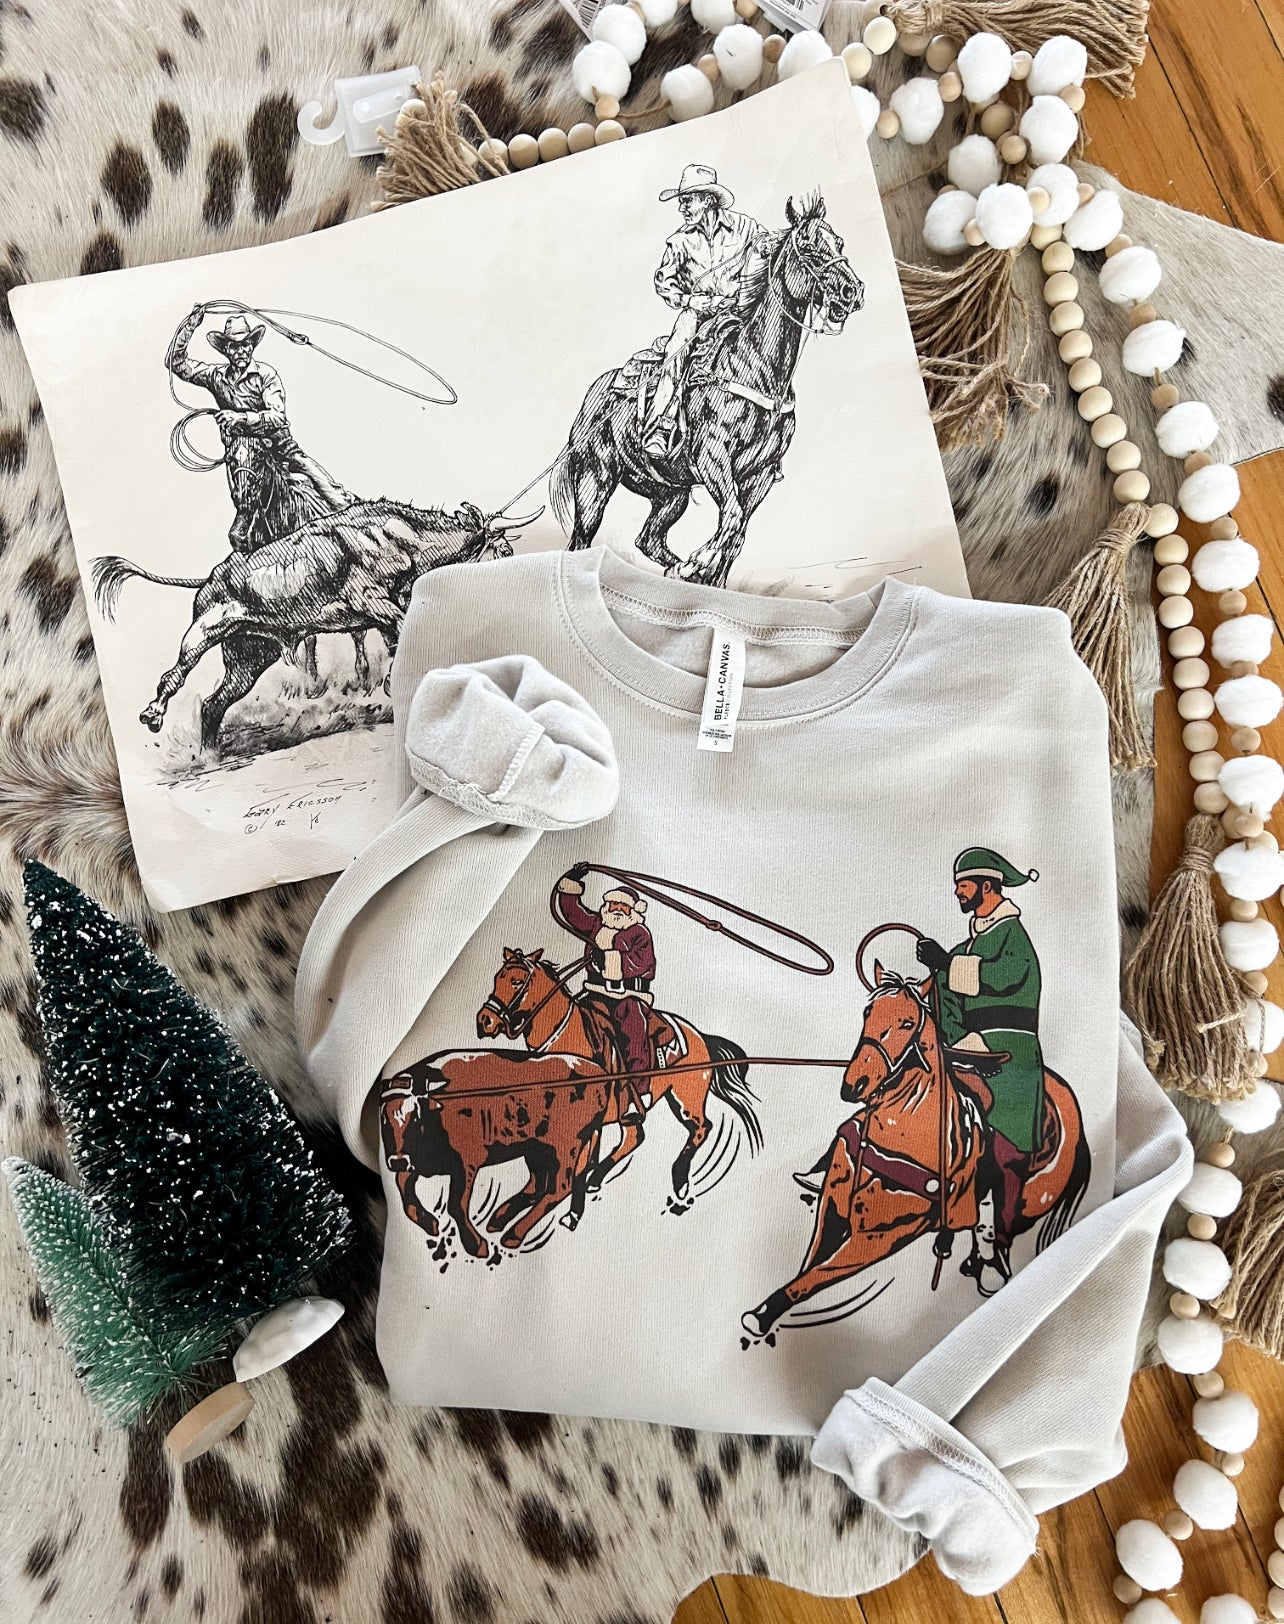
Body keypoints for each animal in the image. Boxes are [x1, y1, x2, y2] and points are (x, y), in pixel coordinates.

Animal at [475, 946, 760, 1216]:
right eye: (497, 977)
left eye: (516, 981)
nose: (484, 1021)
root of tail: (700, 1036)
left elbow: (574, 1165)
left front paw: (569, 1212)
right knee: (635, 1136)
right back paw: (597, 1180)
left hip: (686, 1099)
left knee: (701, 1128)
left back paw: (679, 1182)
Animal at [549, 193, 864, 588]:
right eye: (808, 247)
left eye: (839, 243)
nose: (853, 291)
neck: (752, 367)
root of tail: (593, 397)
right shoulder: (712, 458)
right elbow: (731, 518)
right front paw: (698, 562)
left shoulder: (759, 475)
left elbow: (735, 535)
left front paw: (705, 573)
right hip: (596, 481)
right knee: (581, 542)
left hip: (670, 492)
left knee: (649, 539)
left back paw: (676, 570)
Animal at [741, 964, 1090, 1338]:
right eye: (868, 1012)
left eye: (908, 1023)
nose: (854, 1084)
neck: (903, 1135)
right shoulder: (832, 1207)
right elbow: (808, 1264)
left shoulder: (878, 1237)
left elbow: (815, 1277)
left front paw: (763, 1316)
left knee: (1000, 1225)